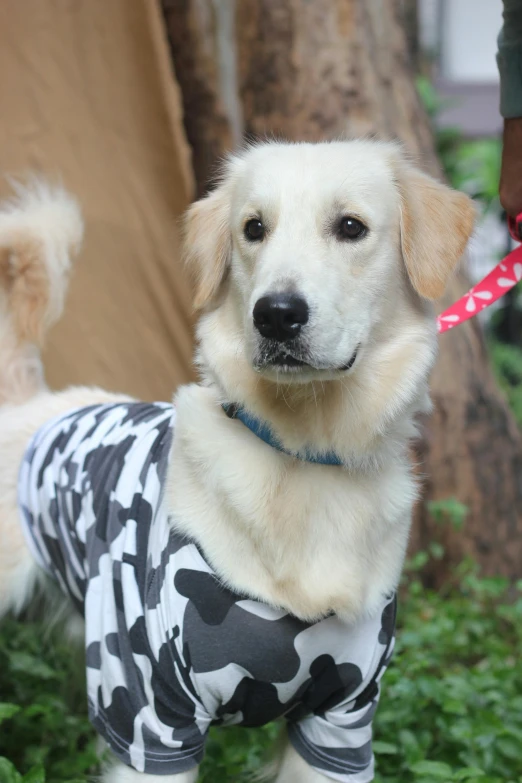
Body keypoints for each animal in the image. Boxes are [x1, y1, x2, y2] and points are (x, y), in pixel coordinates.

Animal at [0, 142, 474, 783]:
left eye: (351, 227)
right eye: (253, 228)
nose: (276, 314)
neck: (303, 456)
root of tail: (32, 403)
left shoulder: (341, 722)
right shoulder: (150, 715)